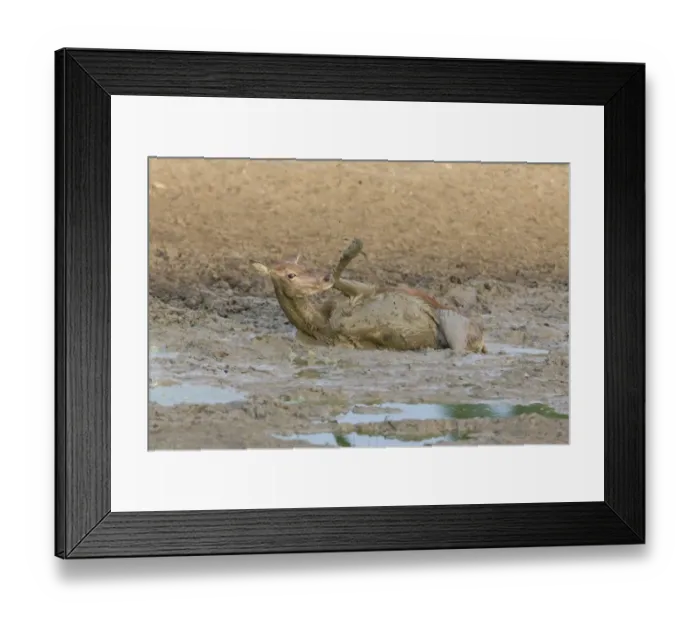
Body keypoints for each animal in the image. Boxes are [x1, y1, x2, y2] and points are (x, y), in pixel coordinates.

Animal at [250, 238, 487, 354]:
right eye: (290, 275)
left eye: (304, 266)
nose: (323, 278)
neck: (322, 324)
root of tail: (482, 340)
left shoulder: (367, 289)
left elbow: (341, 277)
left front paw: (353, 247)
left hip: (451, 319)